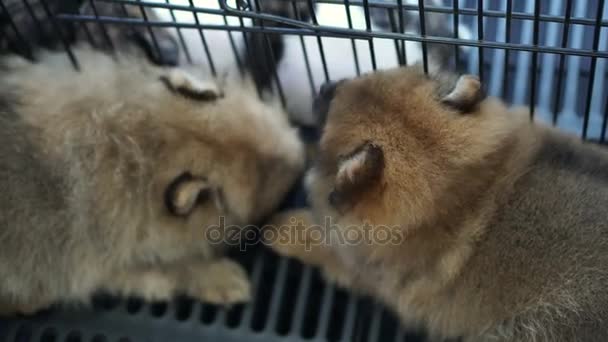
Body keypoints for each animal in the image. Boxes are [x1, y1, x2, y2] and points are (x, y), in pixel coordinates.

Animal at [268, 67, 608, 342]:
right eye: (360, 74)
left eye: (327, 116)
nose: (325, 84)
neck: (462, 188)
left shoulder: (363, 272)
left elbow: (321, 243)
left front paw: (282, 228)